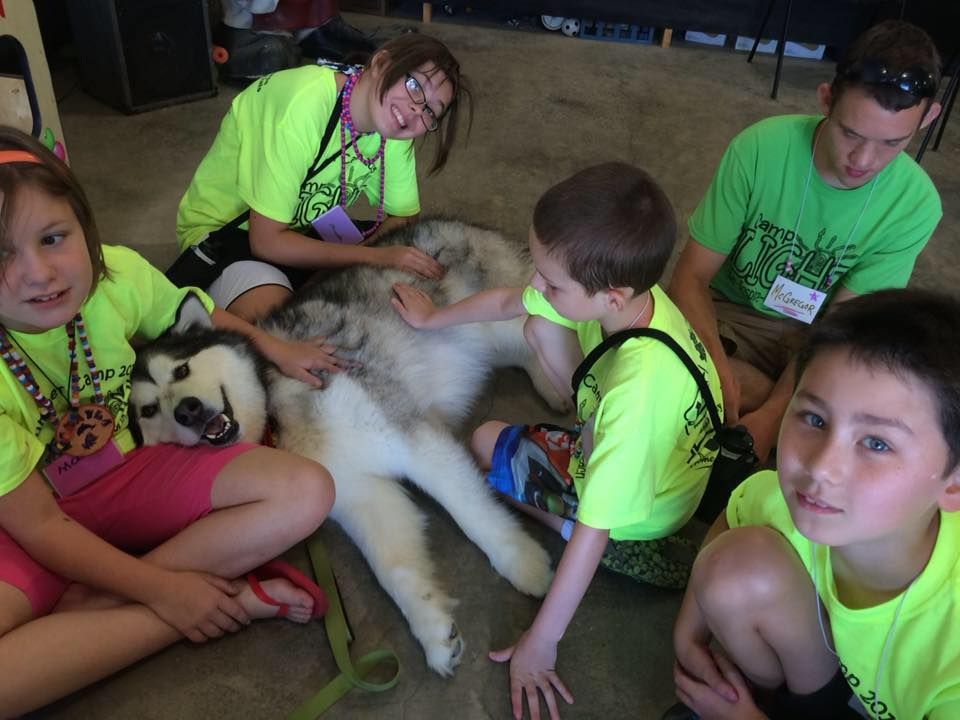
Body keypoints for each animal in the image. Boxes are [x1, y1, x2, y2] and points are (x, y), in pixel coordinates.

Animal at [131, 219, 560, 676]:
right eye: (149, 409)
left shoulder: (410, 435)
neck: (277, 419)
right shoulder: (357, 492)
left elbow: (471, 511)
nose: (188, 411)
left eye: (182, 370)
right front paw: (433, 631)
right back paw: (551, 384)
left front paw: (522, 563)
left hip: (498, 312)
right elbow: (394, 567)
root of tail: (450, 221)